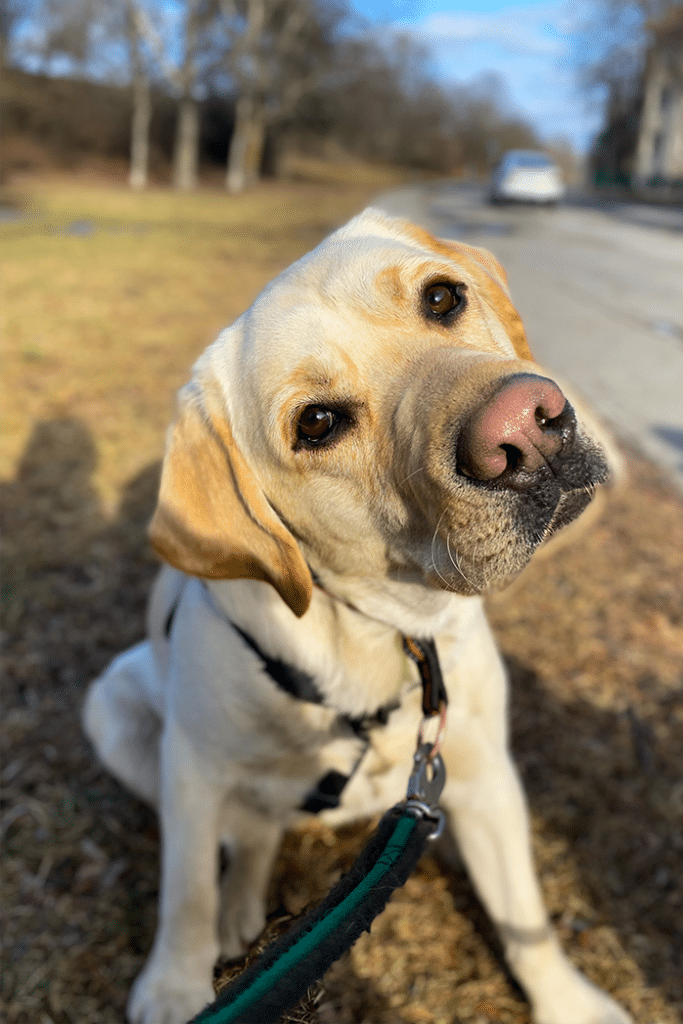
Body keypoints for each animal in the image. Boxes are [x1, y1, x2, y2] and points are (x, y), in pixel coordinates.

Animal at [82, 209, 634, 1024]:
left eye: (442, 298)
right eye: (316, 422)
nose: (528, 430)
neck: (380, 638)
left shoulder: (481, 771)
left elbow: (523, 914)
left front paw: (567, 1002)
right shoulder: (191, 767)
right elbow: (186, 888)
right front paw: (175, 986)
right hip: (113, 707)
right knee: (244, 838)